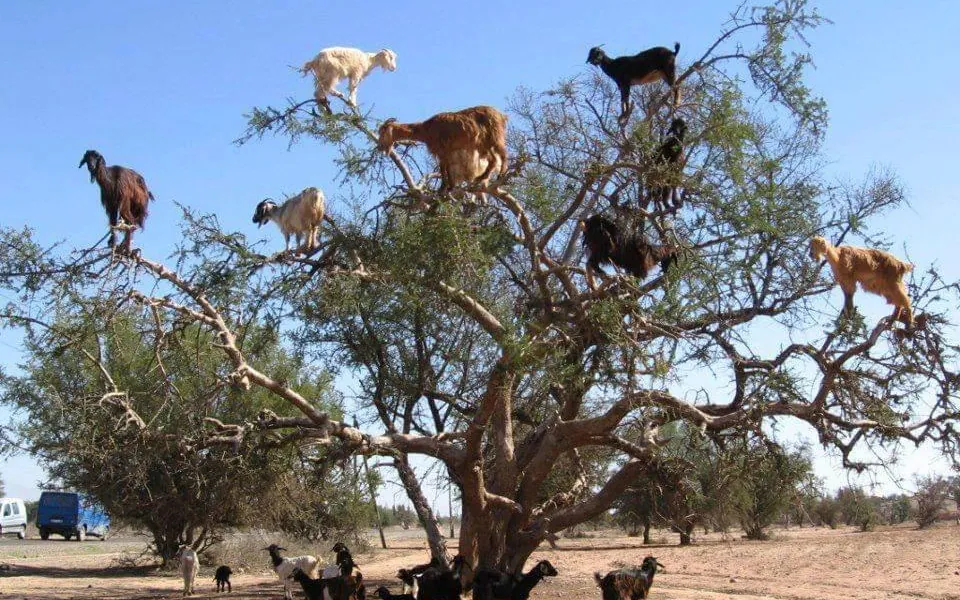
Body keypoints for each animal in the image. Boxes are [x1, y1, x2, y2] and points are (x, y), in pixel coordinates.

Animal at [378, 106, 509, 193]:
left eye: (382, 132)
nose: (379, 147)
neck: (426, 129)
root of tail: (502, 116)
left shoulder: (442, 151)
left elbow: (443, 169)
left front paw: (444, 188)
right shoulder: (445, 152)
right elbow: (446, 168)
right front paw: (449, 186)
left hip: (495, 137)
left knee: (503, 154)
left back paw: (501, 174)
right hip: (483, 144)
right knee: (493, 160)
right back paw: (481, 177)